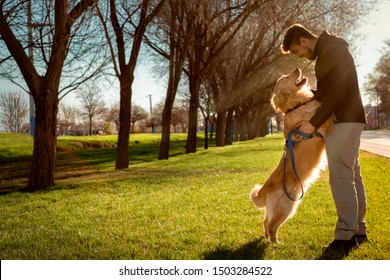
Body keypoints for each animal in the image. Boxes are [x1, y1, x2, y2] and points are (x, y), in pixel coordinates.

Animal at [253, 67, 332, 243]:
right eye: (285, 77)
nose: (297, 68)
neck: (295, 106)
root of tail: (265, 189)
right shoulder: (320, 122)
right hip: (287, 206)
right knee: (272, 225)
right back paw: (276, 243)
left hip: (276, 208)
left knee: (265, 221)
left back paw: (266, 238)